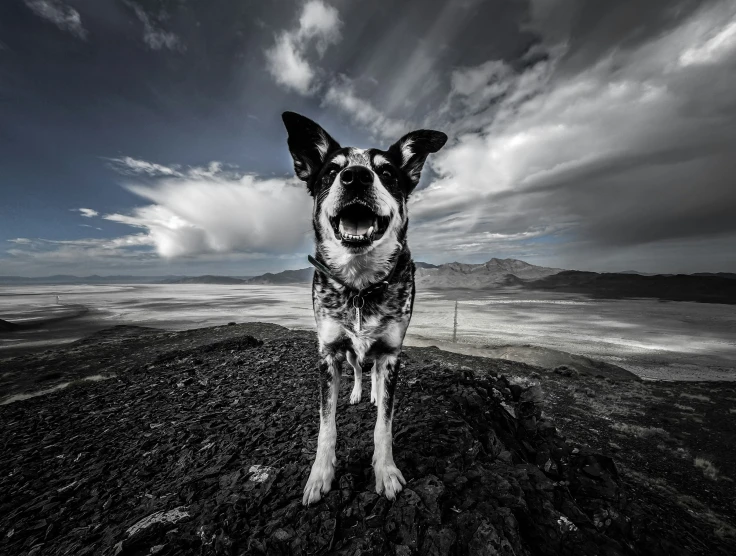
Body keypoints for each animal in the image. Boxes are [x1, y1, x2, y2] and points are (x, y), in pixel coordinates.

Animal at [284, 112, 448, 504]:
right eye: (332, 171)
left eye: (387, 172)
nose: (356, 176)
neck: (360, 286)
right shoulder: (328, 353)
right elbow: (326, 425)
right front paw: (320, 475)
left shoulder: (391, 353)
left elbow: (383, 426)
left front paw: (385, 472)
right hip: (347, 352)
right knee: (359, 367)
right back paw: (360, 391)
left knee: (371, 371)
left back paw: (372, 392)